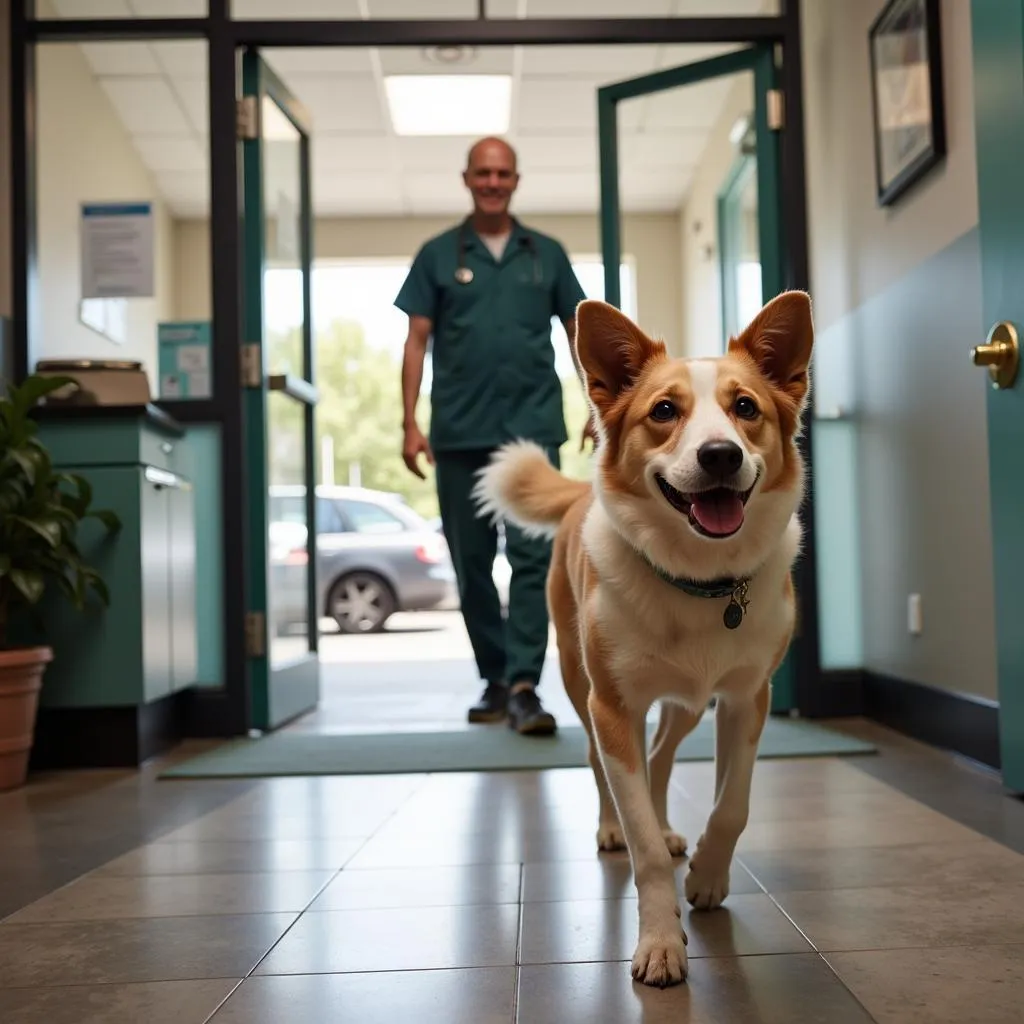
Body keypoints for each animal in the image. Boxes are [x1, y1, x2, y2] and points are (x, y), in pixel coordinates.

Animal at [473, 288, 815, 983]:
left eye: (746, 407)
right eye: (664, 411)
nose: (720, 455)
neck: (700, 582)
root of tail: (580, 494)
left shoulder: (746, 698)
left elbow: (732, 805)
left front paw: (707, 875)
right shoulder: (615, 706)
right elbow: (643, 847)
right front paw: (660, 940)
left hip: (687, 703)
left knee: (659, 757)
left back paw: (668, 824)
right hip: (582, 684)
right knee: (601, 764)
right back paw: (614, 827)